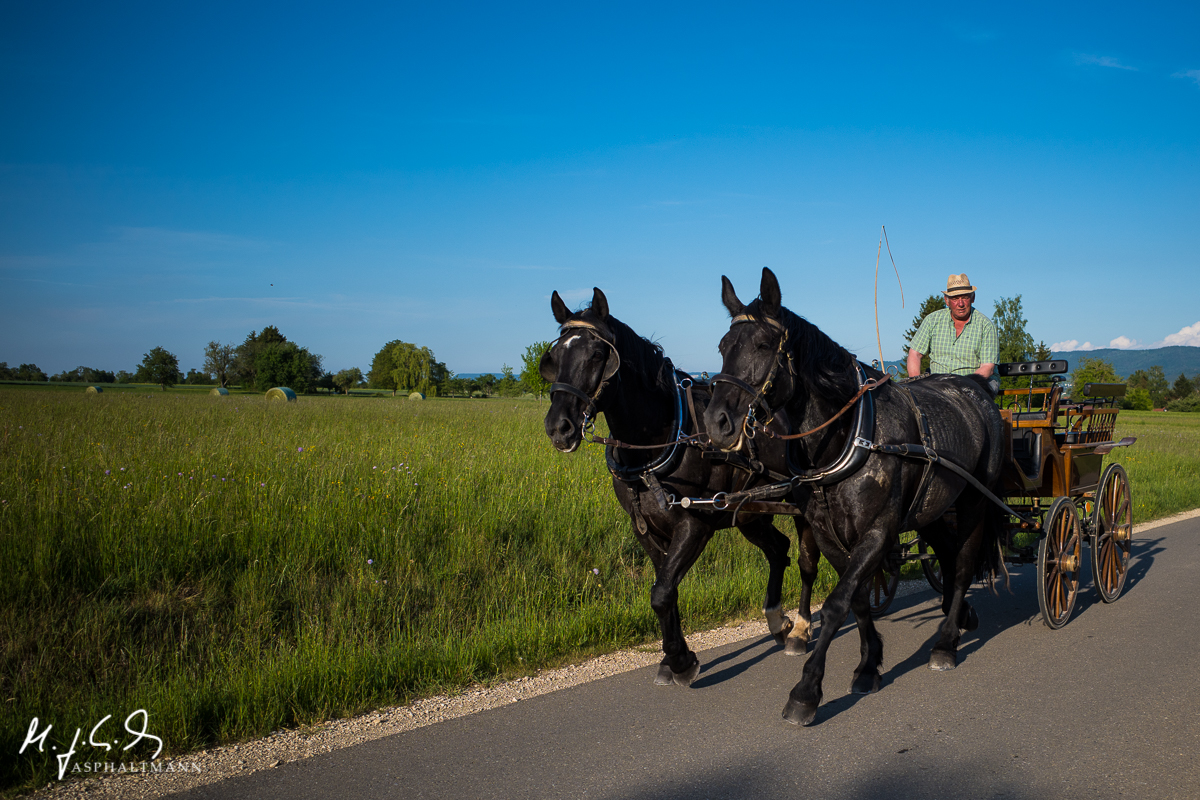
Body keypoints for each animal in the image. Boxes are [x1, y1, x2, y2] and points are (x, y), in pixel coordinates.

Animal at [540, 289, 820, 690]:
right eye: (554, 358)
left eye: (596, 354)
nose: (558, 427)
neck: (662, 437)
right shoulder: (645, 528)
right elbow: (665, 589)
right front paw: (669, 659)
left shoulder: (694, 525)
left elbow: (660, 594)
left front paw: (681, 661)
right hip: (750, 513)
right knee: (778, 550)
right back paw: (775, 619)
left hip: (803, 503)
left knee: (806, 561)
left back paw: (800, 630)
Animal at [700, 268, 1003, 724]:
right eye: (722, 347)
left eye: (763, 345)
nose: (717, 423)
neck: (846, 434)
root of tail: (974, 389)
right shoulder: (828, 533)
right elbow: (857, 598)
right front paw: (868, 664)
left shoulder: (878, 531)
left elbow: (837, 602)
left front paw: (807, 690)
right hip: (932, 509)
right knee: (948, 557)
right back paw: (960, 615)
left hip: (973, 502)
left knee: (965, 563)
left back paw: (946, 643)